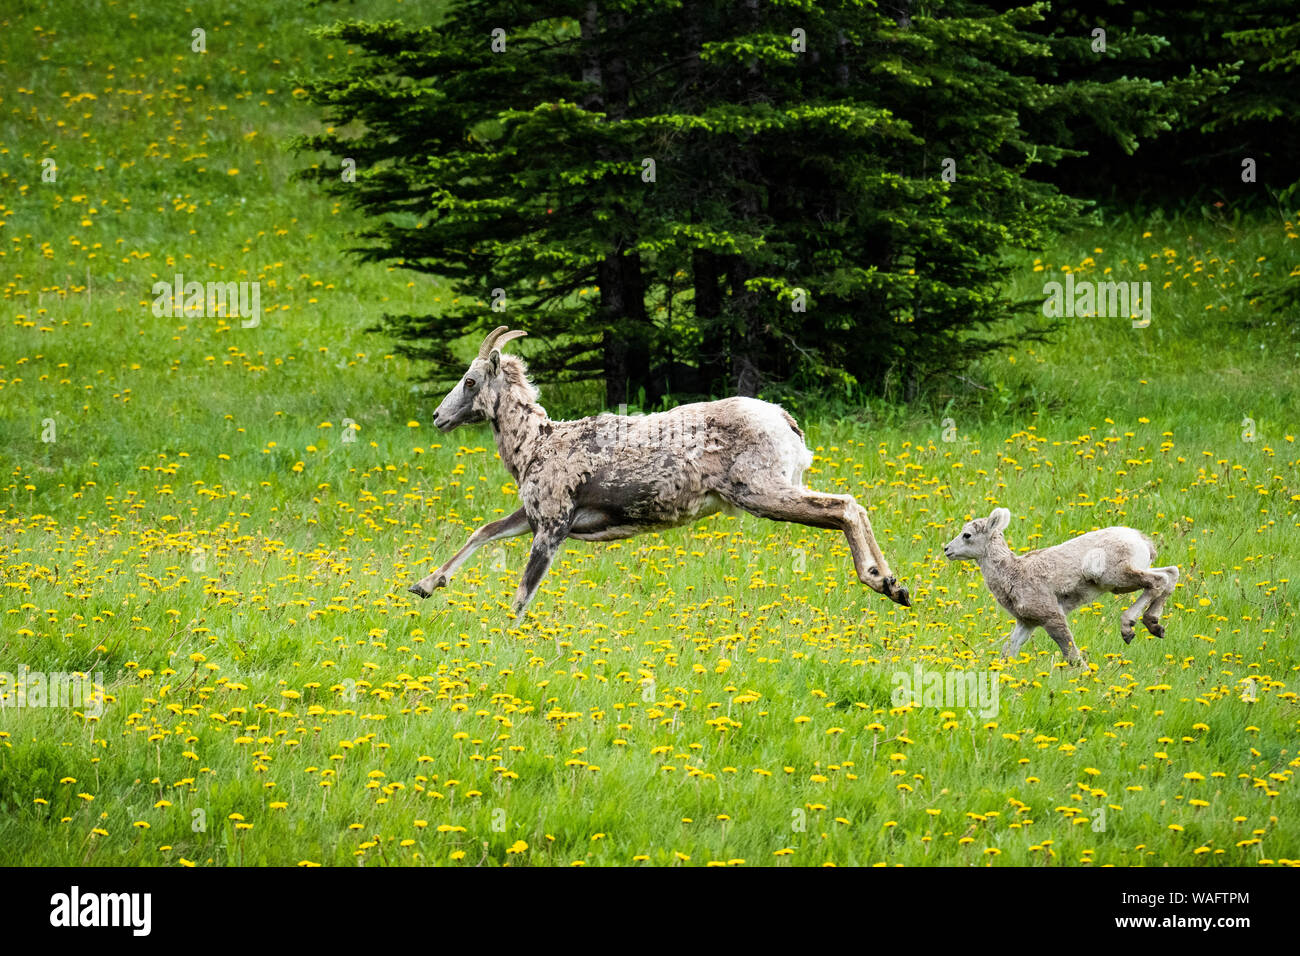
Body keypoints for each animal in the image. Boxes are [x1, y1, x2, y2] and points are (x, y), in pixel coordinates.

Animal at [408, 327, 915, 613]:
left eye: (470, 380)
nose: (437, 417)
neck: (536, 444)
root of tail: (786, 423)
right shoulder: (534, 517)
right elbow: (484, 531)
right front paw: (424, 586)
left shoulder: (552, 525)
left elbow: (522, 595)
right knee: (851, 507)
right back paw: (897, 587)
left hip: (763, 492)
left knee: (844, 507)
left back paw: (887, 585)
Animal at [946, 509, 1180, 665]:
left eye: (967, 535)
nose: (946, 549)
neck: (1014, 573)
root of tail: (1141, 540)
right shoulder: (1027, 623)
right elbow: (1008, 651)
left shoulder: (1052, 617)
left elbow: (1072, 655)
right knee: (1170, 573)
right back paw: (1155, 626)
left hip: (1118, 579)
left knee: (1158, 581)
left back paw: (1129, 628)